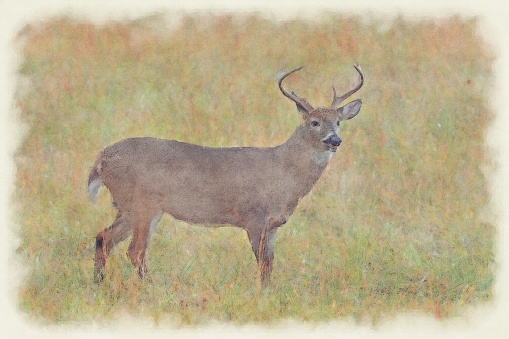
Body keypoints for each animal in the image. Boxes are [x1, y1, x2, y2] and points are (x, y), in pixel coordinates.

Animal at [89, 63, 364, 286]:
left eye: (338, 122)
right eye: (314, 122)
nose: (335, 140)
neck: (283, 174)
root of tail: (101, 159)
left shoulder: (273, 224)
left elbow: (270, 263)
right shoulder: (254, 217)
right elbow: (263, 264)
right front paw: (263, 294)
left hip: (129, 207)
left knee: (104, 238)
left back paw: (99, 282)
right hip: (142, 205)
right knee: (134, 250)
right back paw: (151, 287)